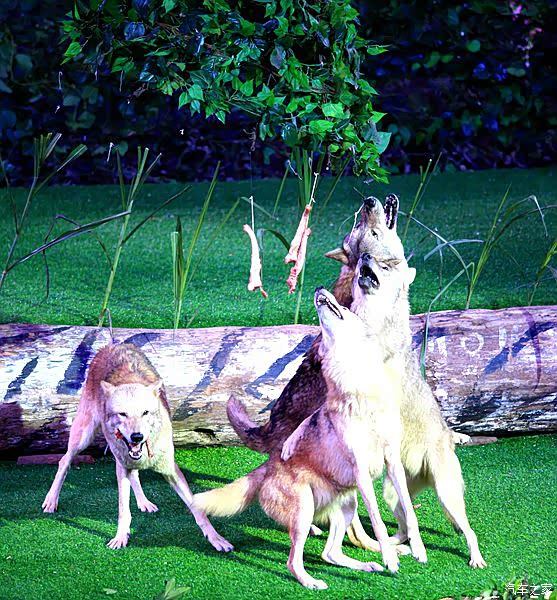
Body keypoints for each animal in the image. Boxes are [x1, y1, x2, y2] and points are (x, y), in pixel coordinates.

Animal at [42, 343, 233, 553]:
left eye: (145, 413)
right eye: (122, 414)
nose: (137, 436)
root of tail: (112, 344)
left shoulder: (170, 469)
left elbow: (198, 510)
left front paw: (217, 539)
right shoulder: (122, 467)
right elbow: (123, 510)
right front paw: (120, 537)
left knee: (135, 474)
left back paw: (144, 503)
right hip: (83, 437)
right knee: (64, 461)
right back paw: (51, 500)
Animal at [193, 286, 427, 590]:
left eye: (346, 309)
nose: (318, 289)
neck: (361, 395)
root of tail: (268, 466)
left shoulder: (392, 462)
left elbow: (409, 511)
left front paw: (417, 550)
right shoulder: (361, 472)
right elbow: (377, 520)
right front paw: (390, 559)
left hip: (347, 505)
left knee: (331, 553)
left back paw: (366, 565)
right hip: (306, 512)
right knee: (294, 561)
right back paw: (312, 582)